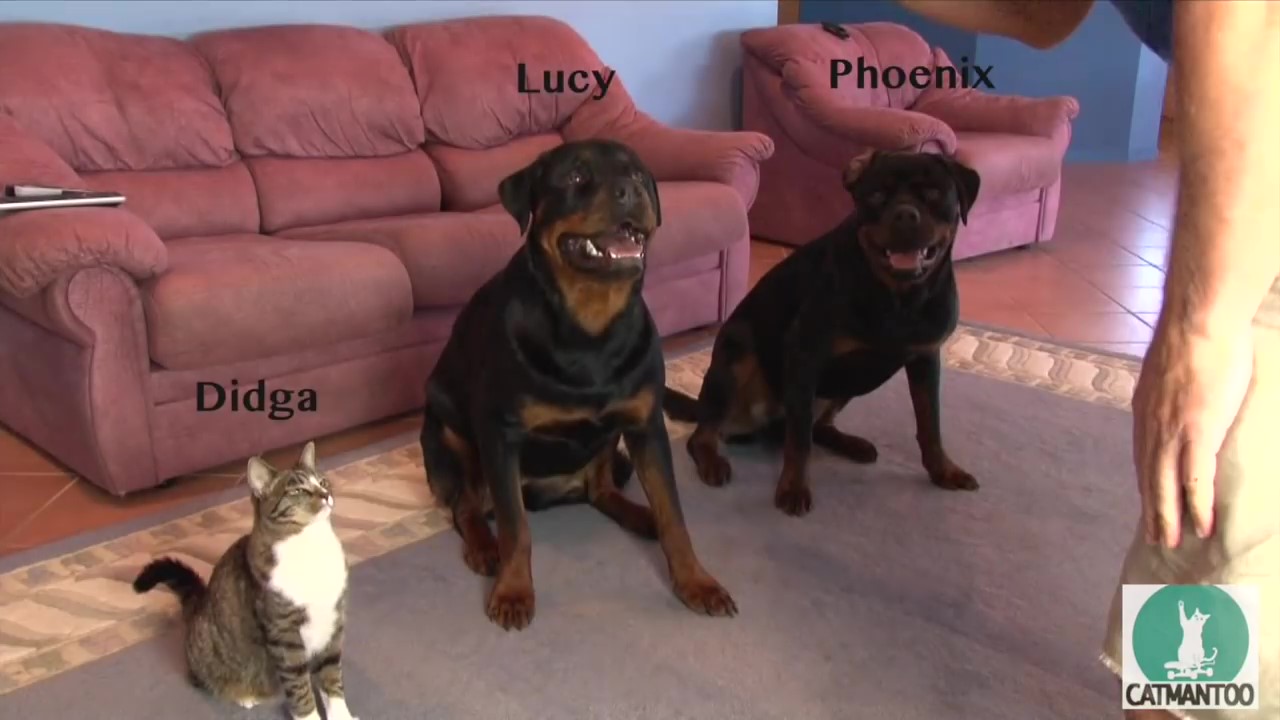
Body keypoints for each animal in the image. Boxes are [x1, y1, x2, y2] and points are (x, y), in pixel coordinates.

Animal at [133, 441, 358, 720]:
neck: (311, 546)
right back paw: (243, 695)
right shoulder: (284, 635)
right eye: (297, 490)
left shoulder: (333, 624)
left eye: (323, 482)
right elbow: (300, 689)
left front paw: (342, 714)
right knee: (202, 679)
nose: (326, 494)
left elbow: (331, 677)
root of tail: (199, 605)